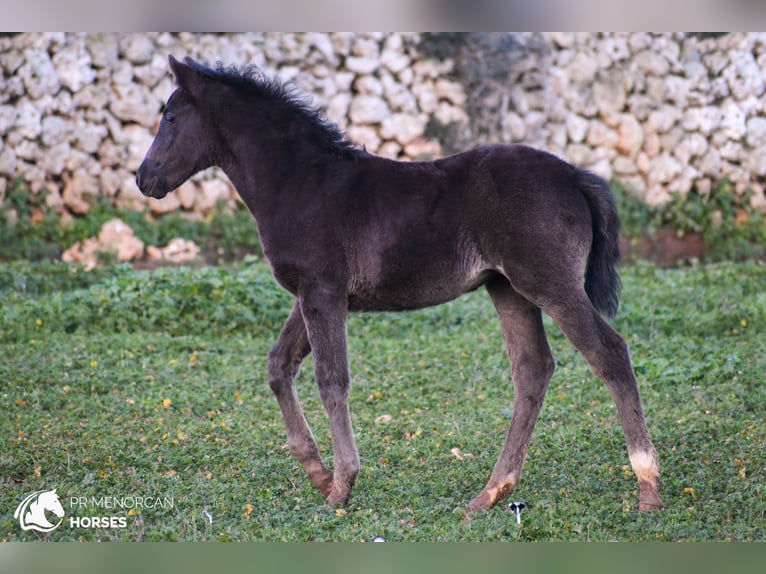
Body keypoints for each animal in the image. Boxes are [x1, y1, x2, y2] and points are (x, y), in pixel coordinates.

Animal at [138, 57, 664, 516]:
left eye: (170, 115)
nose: (144, 177)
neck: (299, 181)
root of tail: (574, 176)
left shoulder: (323, 292)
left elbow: (331, 379)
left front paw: (341, 488)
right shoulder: (312, 295)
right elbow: (278, 366)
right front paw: (319, 473)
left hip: (550, 283)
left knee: (609, 354)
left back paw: (648, 488)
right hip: (508, 289)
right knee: (533, 369)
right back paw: (491, 492)